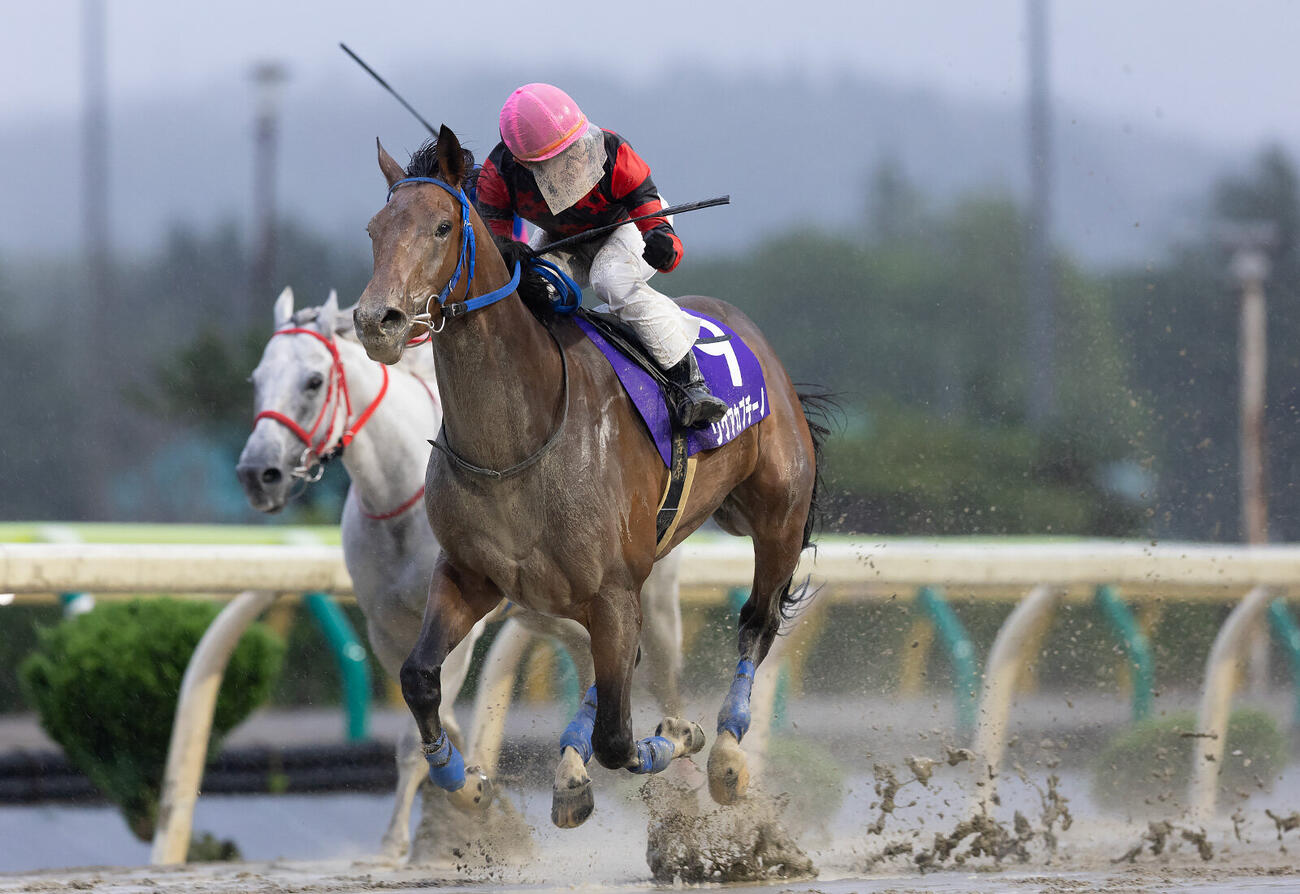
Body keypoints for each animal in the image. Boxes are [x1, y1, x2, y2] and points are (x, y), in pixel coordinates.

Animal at [235, 287, 688, 852]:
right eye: (256, 379)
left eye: (313, 381)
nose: (258, 474)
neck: (395, 497)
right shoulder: (386, 627)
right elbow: (431, 715)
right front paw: (466, 801)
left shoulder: (464, 619)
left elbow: (420, 732)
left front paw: (399, 842)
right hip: (557, 612)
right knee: (598, 666)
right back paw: (577, 775)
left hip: (644, 597)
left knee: (662, 677)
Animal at [351, 126, 827, 827]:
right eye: (375, 229)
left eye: (441, 227)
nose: (375, 321)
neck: (517, 443)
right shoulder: (471, 576)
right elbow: (418, 678)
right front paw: (465, 784)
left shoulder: (612, 589)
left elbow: (619, 739)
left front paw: (679, 735)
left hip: (776, 519)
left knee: (756, 622)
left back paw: (726, 755)